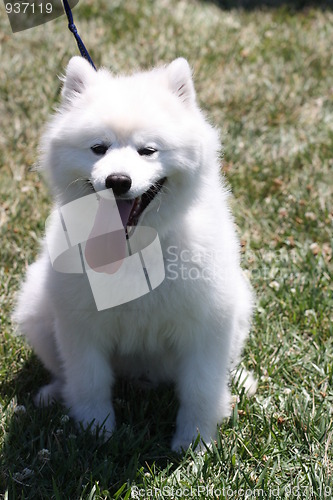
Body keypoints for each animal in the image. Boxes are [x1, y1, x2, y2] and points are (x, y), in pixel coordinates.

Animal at [13, 56, 254, 452]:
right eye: (98, 148)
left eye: (148, 150)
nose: (117, 181)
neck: (133, 247)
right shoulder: (81, 327)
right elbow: (89, 382)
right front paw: (97, 431)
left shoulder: (207, 327)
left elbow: (200, 390)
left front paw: (194, 444)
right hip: (38, 308)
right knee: (66, 375)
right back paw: (53, 394)